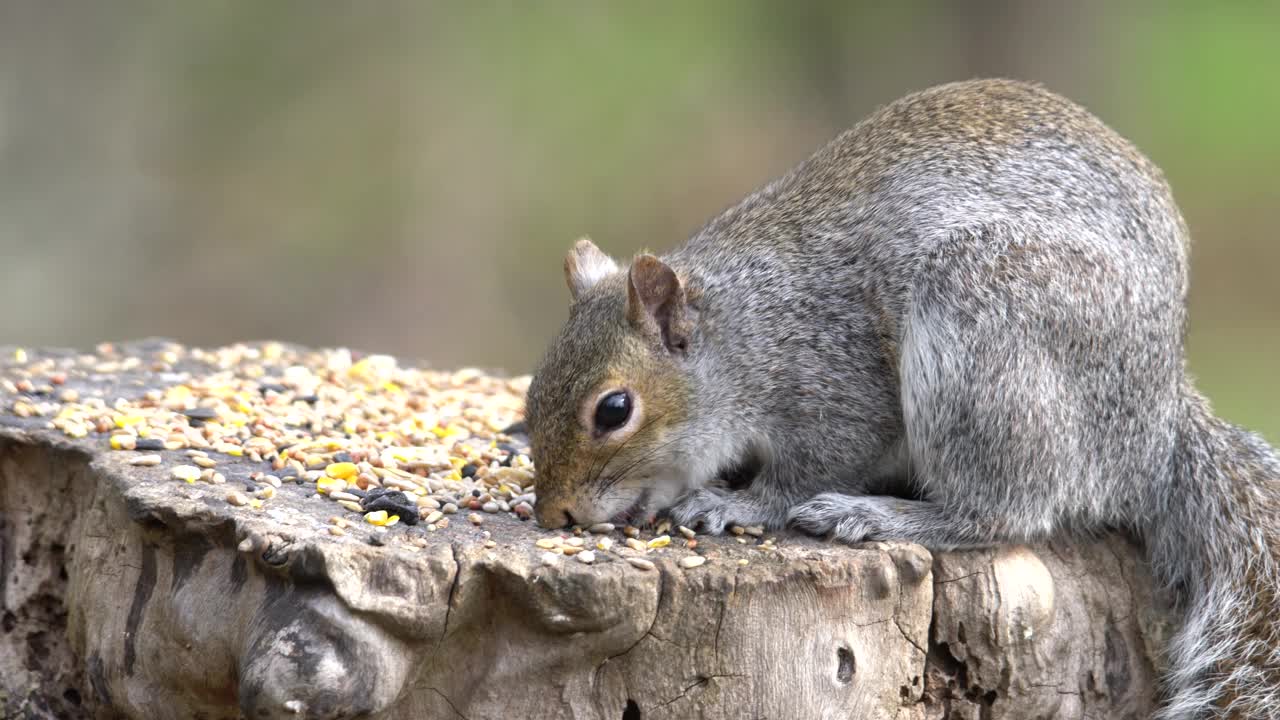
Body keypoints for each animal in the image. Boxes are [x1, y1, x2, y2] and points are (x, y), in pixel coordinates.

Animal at [519, 78, 1280, 717]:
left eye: (614, 410)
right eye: (532, 390)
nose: (555, 514)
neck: (744, 331)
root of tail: (1156, 432)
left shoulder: (838, 383)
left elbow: (808, 468)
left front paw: (735, 504)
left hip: (985, 332)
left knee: (1005, 510)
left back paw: (877, 515)